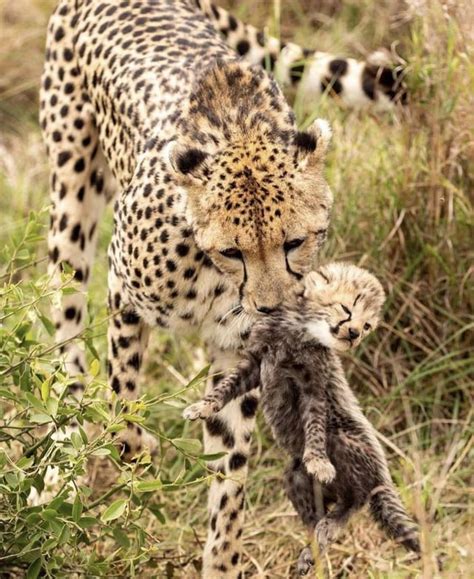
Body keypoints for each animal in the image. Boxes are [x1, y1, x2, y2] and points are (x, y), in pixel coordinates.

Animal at [39, 0, 404, 576]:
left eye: (295, 241)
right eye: (234, 251)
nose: (271, 308)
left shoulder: (240, 352)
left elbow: (228, 474)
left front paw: (222, 560)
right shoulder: (123, 291)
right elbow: (121, 399)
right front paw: (135, 456)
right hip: (71, 196)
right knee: (69, 334)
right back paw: (65, 453)